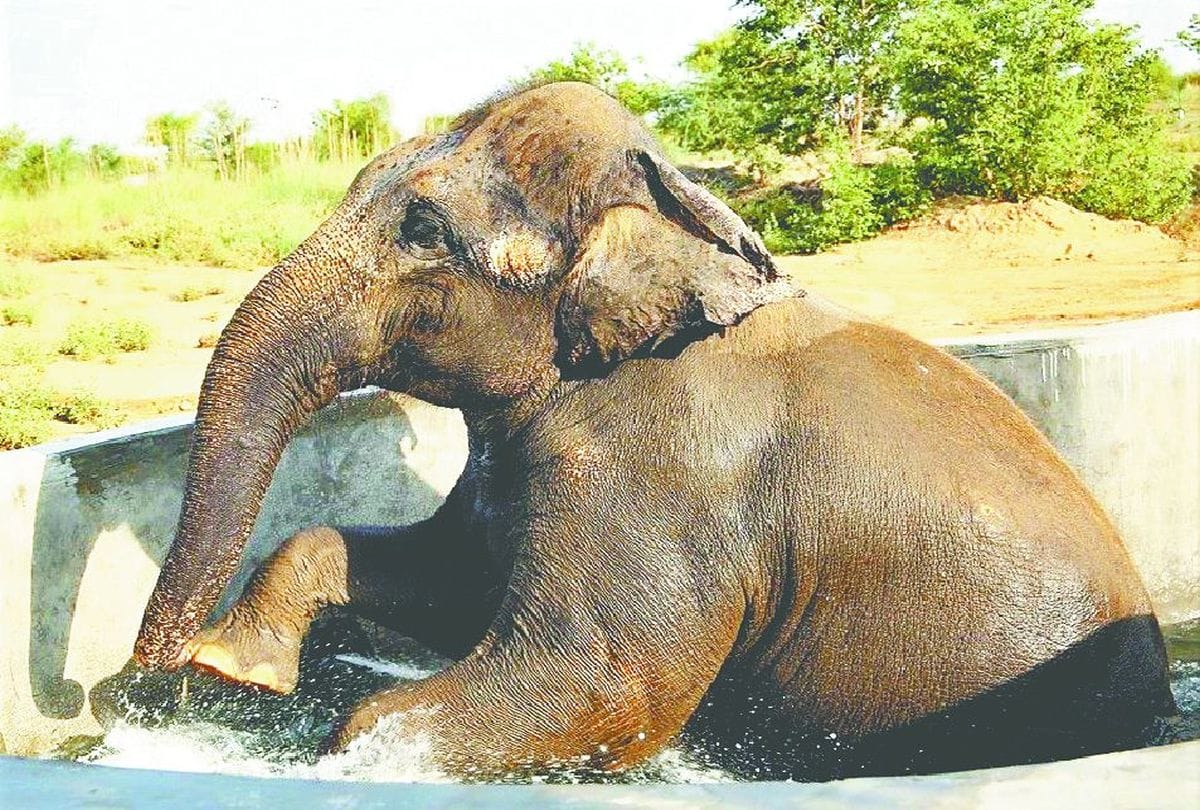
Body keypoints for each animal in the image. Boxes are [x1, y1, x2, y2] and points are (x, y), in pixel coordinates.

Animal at [132, 81, 1176, 781]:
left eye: (425, 230)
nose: (149, 693)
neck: (677, 215)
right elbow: (458, 584)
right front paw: (240, 669)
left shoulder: (661, 480)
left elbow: (601, 681)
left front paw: (348, 749)